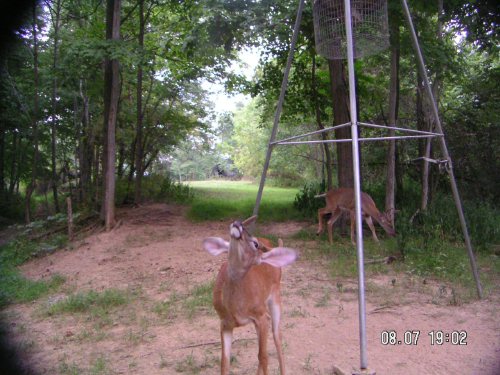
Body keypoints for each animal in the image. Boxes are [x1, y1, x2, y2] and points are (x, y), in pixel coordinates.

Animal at [202, 214, 296, 375]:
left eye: (255, 244)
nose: (238, 223)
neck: (235, 308)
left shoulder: (259, 316)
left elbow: (263, 356)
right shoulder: (224, 322)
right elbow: (224, 362)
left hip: (275, 295)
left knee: (277, 335)